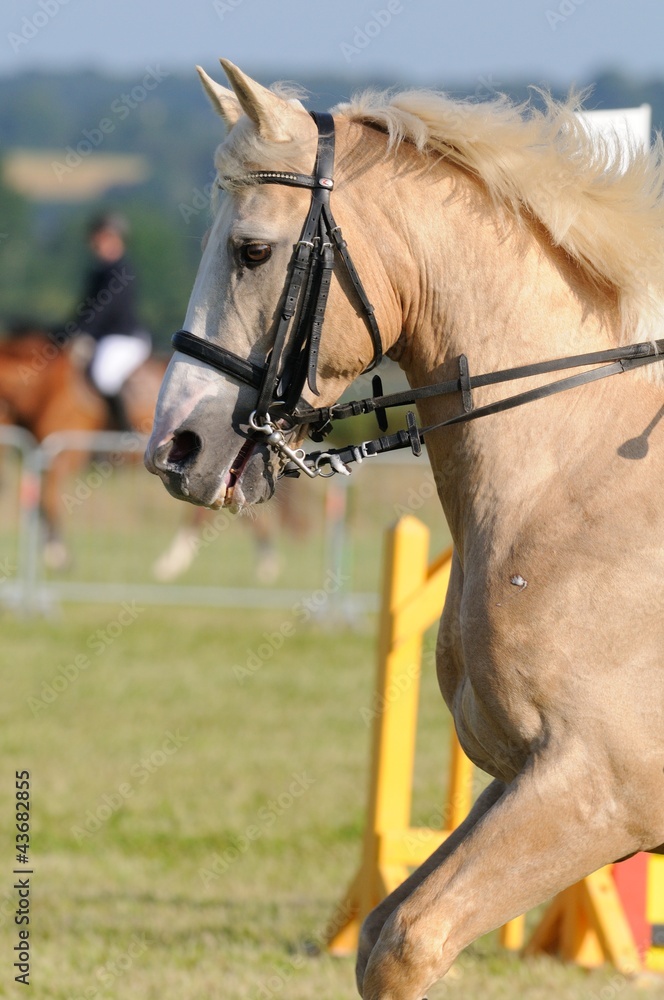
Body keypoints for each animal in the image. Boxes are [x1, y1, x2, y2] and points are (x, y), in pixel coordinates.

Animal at [145, 62, 664, 1000]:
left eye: (251, 251)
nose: (175, 448)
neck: (576, 462)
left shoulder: (602, 788)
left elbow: (408, 942)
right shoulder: (528, 776)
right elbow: (387, 928)